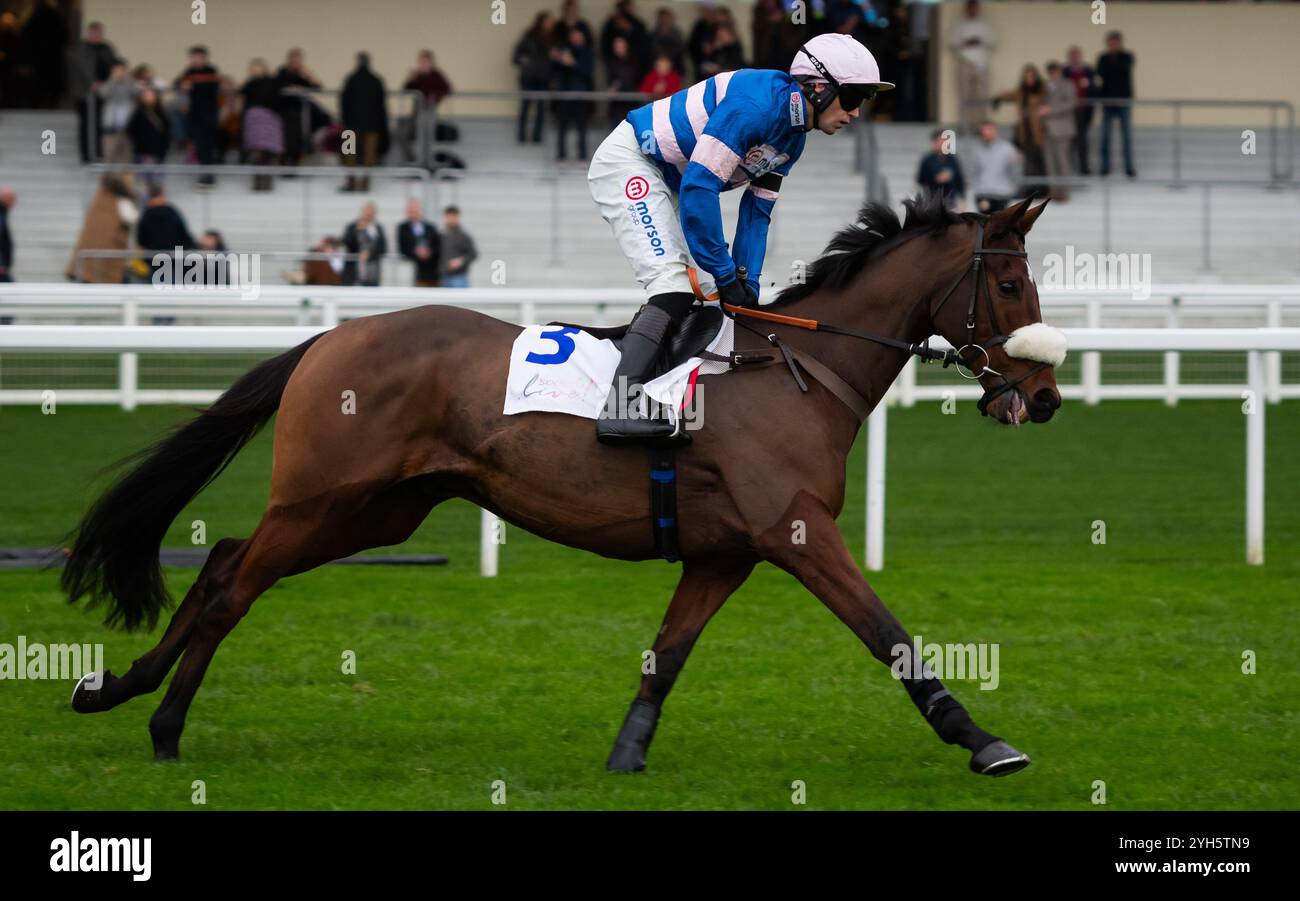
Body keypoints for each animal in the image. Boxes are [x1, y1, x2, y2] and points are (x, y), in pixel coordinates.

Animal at [61, 193, 1060, 774]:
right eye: (1011, 283)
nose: (1045, 396)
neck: (800, 368)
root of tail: (329, 338)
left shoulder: (726, 552)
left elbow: (670, 651)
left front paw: (627, 751)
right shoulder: (797, 530)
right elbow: (888, 632)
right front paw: (982, 739)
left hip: (376, 512)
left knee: (226, 558)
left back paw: (119, 690)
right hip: (325, 498)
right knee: (234, 578)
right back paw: (161, 722)